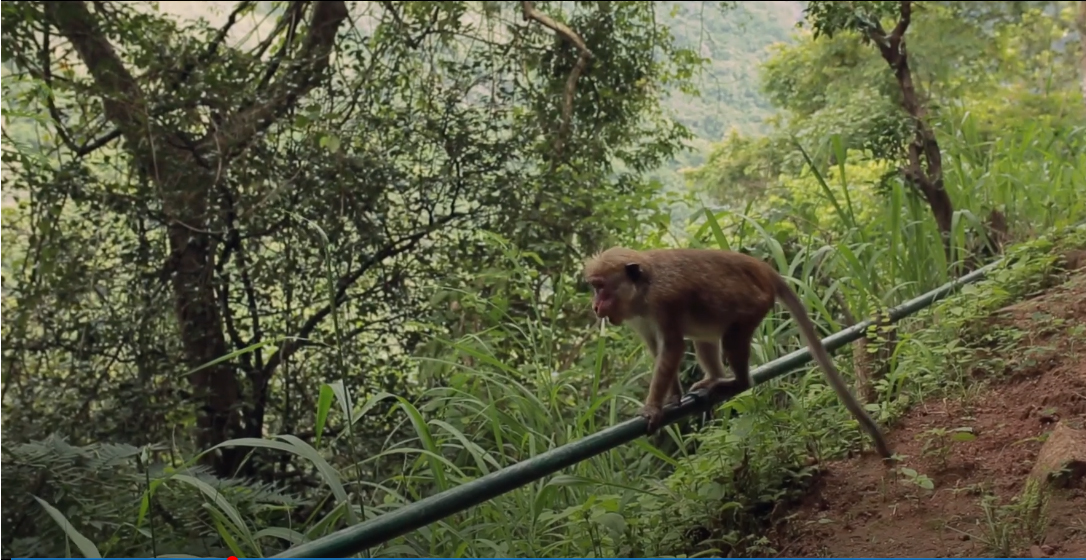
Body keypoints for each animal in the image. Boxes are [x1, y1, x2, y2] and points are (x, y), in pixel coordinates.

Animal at [583, 246, 894, 460]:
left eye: (601, 287)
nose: (595, 307)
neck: (643, 292)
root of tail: (762, 268)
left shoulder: (664, 302)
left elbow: (671, 347)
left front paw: (652, 406)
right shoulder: (638, 318)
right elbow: (658, 349)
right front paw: (672, 397)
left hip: (754, 305)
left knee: (731, 338)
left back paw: (737, 382)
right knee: (704, 336)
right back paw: (714, 378)